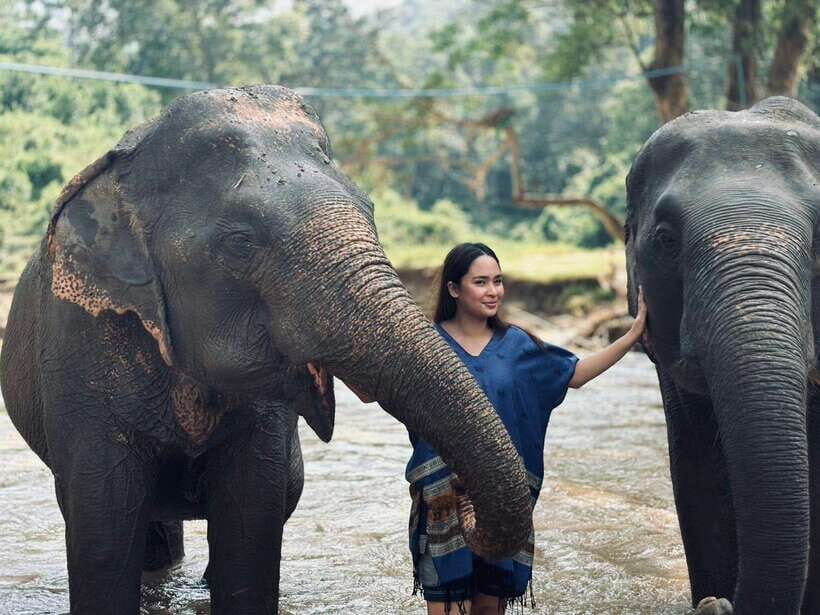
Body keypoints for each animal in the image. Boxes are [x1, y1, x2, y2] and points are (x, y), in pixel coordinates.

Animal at [0, 85, 532, 615]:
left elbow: (249, 525)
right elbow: (104, 534)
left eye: (370, 210)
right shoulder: (82, 349)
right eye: (241, 243)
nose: (461, 506)